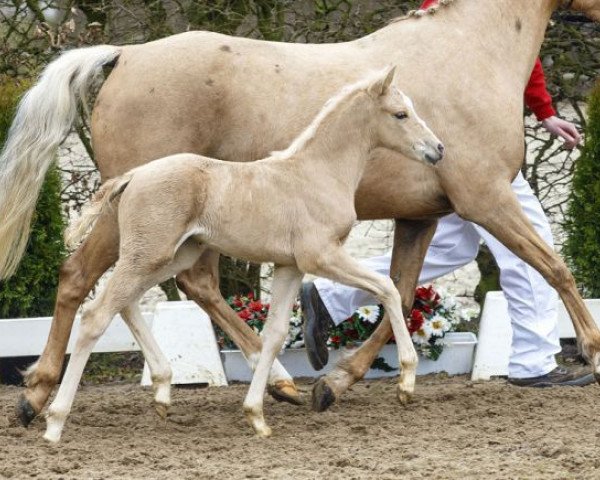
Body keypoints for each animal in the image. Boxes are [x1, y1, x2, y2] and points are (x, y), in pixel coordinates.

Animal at [44, 67, 442, 442]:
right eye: (400, 114)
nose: (437, 149)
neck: (316, 174)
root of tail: (134, 175)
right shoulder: (321, 256)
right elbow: (388, 289)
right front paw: (407, 382)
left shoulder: (289, 266)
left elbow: (275, 333)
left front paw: (257, 416)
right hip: (148, 255)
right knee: (96, 315)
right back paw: (55, 422)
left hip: (170, 257)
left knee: (126, 304)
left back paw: (162, 391)